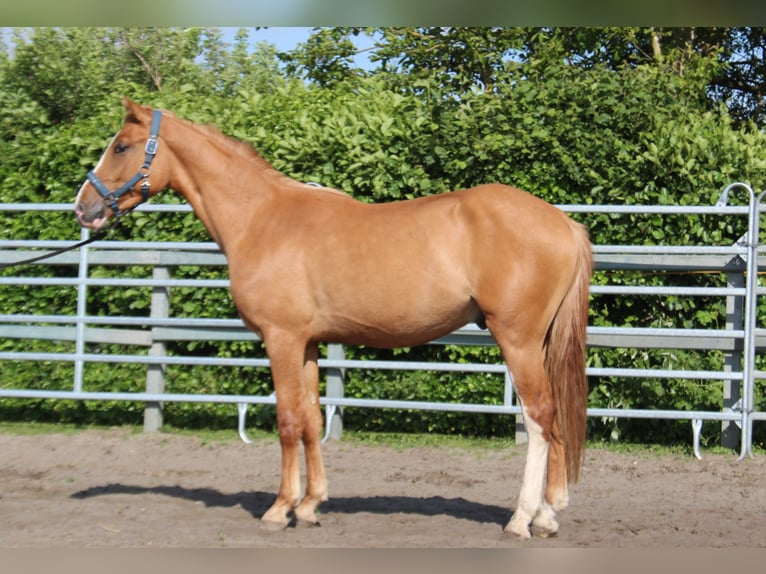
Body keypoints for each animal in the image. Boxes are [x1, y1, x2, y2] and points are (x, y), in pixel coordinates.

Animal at [74, 97, 592, 540]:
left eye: (121, 146)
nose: (83, 207)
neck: (262, 219)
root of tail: (563, 222)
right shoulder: (306, 343)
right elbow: (310, 417)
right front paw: (309, 506)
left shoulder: (280, 339)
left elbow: (287, 419)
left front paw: (279, 509)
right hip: (540, 343)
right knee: (553, 420)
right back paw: (547, 516)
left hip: (518, 340)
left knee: (540, 417)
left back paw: (522, 518)